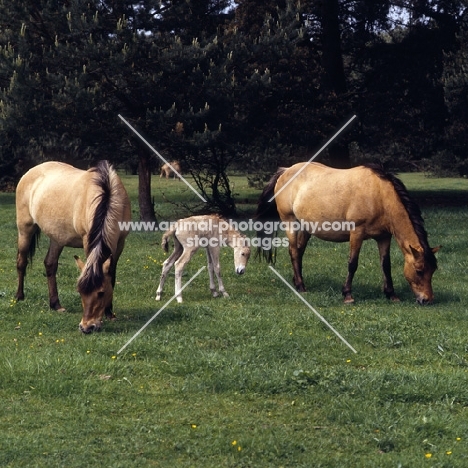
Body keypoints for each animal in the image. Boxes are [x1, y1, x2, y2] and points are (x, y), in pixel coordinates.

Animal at [15, 161, 131, 332]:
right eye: (80, 292)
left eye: (101, 293)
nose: (86, 327)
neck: (108, 194)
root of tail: (29, 172)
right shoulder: (87, 239)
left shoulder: (120, 243)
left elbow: (112, 276)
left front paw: (110, 313)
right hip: (25, 229)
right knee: (21, 262)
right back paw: (19, 296)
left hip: (57, 238)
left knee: (50, 264)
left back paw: (56, 305)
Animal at [254, 163, 440, 306]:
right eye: (419, 270)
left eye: (433, 270)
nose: (427, 300)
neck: (379, 195)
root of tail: (285, 171)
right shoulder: (357, 233)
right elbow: (352, 264)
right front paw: (348, 295)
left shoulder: (384, 237)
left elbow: (385, 265)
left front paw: (391, 294)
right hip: (290, 222)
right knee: (293, 252)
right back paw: (301, 286)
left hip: (305, 227)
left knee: (298, 253)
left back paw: (297, 282)